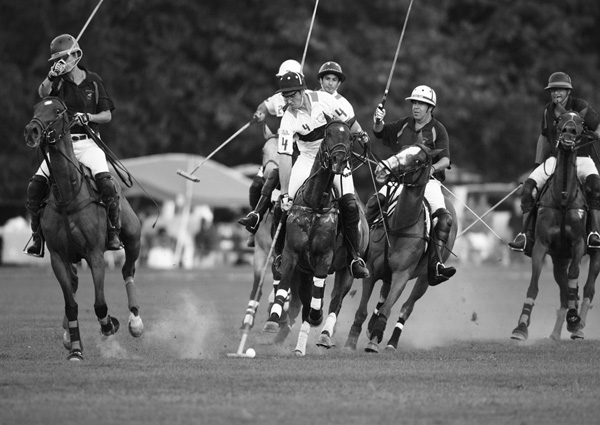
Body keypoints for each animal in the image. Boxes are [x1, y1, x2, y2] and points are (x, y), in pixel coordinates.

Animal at [24, 97, 144, 362]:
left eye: (58, 111)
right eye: (35, 108)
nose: (31, 131)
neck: (68, 194)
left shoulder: (95, 254)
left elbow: (100, 304)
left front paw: (110, 326)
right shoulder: (58, 257)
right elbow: (71, 305)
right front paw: (76, 349)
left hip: (133, 237)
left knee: (128, 270)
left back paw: (135, 322)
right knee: (75, 282)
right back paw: (68, 336)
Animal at [264, 119, 370, 354]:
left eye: (350, 138)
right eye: (328, 134)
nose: (339, 162)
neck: (315, 203)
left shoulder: (325, 256)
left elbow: (319, 295)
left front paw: (316, 316)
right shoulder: (291, 254)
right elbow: (284, 284)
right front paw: (273, 320)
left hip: (346, 269)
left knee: (336, 300)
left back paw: (324, 334)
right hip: (304, 270)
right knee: (302, 299)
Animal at [344, 142, 458, 352]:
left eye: (418, 160)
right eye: (400, 150)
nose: (382, 169)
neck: (399, 226)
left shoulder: (402, 275)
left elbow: (388, 309)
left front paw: (374, 341)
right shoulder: (372, 270)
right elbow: (363, 310)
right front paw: (351, 342)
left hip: (424, 278)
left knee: (406, 307)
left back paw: (391, 342)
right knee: (383, 296)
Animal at [510, 110, 600, 342]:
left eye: (581, 122)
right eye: (559, 120)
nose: (569, 133)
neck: (563, 198)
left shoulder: (578, 244)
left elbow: (575, 276)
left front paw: (574, 319)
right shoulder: (542, 246)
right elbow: (533, 286)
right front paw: (521, 327)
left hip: (596, 254)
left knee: (587, 288)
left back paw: (579, 325)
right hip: (559, 259)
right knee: (564, 292)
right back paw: (556, 332)